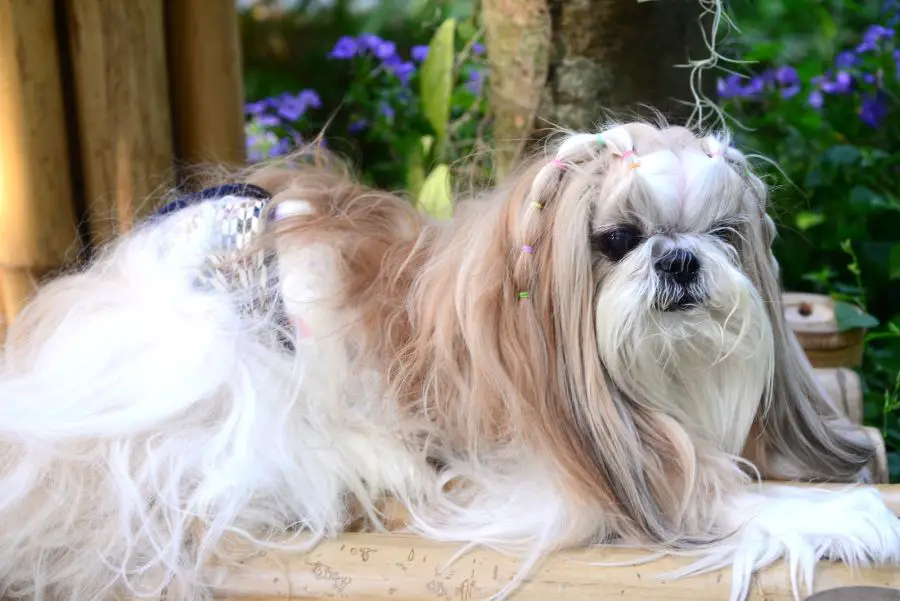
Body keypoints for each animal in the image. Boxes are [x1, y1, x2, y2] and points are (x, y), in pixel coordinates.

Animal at [1, 120, 900, 600]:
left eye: (724, 236)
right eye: (617, 238)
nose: (679, 259)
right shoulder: (547, 477)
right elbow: (712, 495)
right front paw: (848, 513)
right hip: (233, 365)